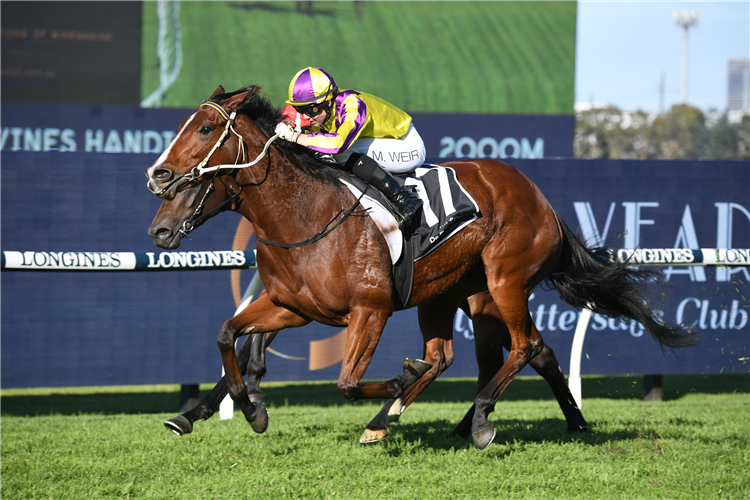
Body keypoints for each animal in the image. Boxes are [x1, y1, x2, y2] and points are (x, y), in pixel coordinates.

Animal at [147, 85, 700, 450]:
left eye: (204, 128)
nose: (158, 176)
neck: (305, 214)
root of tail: (540, 198)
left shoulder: (369, 311)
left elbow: (346, 381)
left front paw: (392, 389)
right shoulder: (291, 306)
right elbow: (229, 334)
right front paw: (242, 408)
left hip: (504, 281)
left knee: (525, 347)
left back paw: (478, 421)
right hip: (449, 294)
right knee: (466, 356)